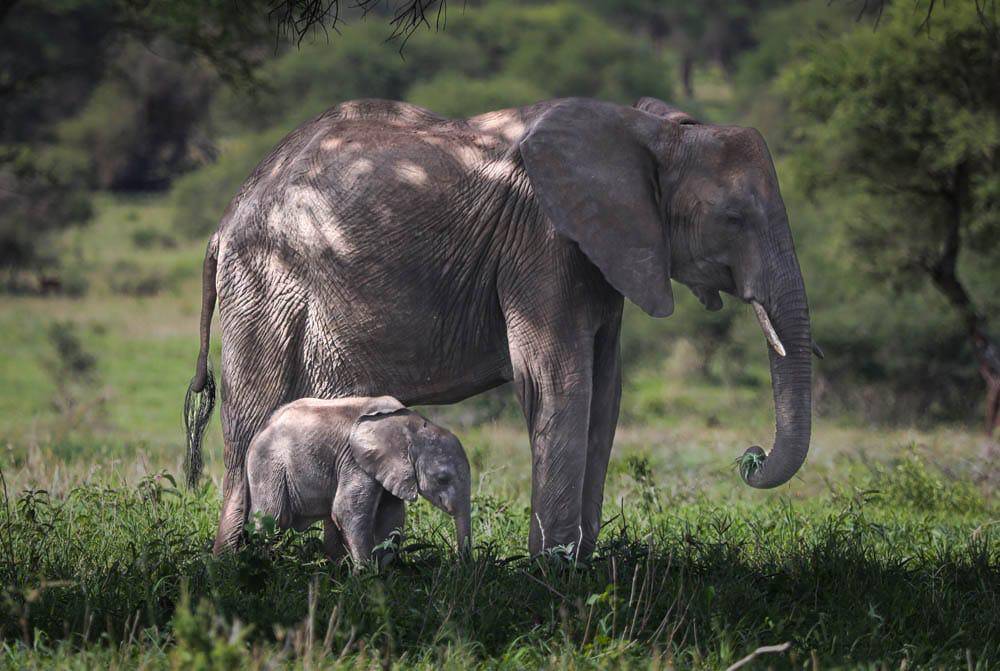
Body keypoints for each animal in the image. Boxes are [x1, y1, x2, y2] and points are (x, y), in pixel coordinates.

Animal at [246, 396, 472, 564]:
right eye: (442, 478)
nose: (461, 564)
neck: (412, 425)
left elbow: (392, 516)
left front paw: (384, 572)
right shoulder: (355, 461)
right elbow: (347, 511)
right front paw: (365, 576)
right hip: (267, 464)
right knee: (274, 519)